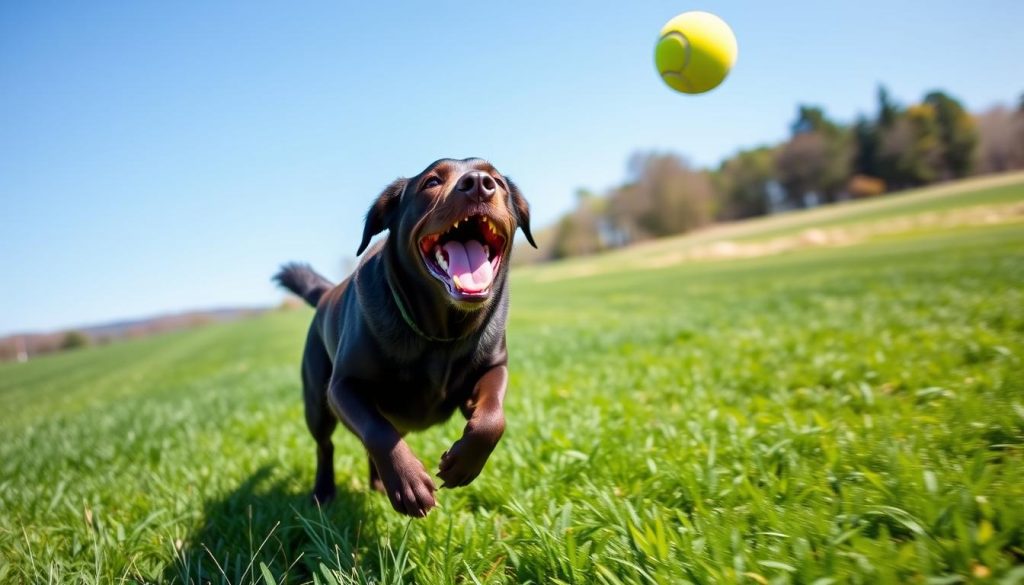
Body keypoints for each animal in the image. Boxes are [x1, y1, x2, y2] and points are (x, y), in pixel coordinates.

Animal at [276, 158, 540, 516]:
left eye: (497, 180)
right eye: (432, 182)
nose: (479, 183)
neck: (440, 334)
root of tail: (325, 293)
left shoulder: (493, 367)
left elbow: (492, 417)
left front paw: (463, 464)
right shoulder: (342, 387)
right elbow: (377, 431)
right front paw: (409, 483)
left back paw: (377, 483)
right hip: (317, 400)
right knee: (326, 444)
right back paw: (324, 492)